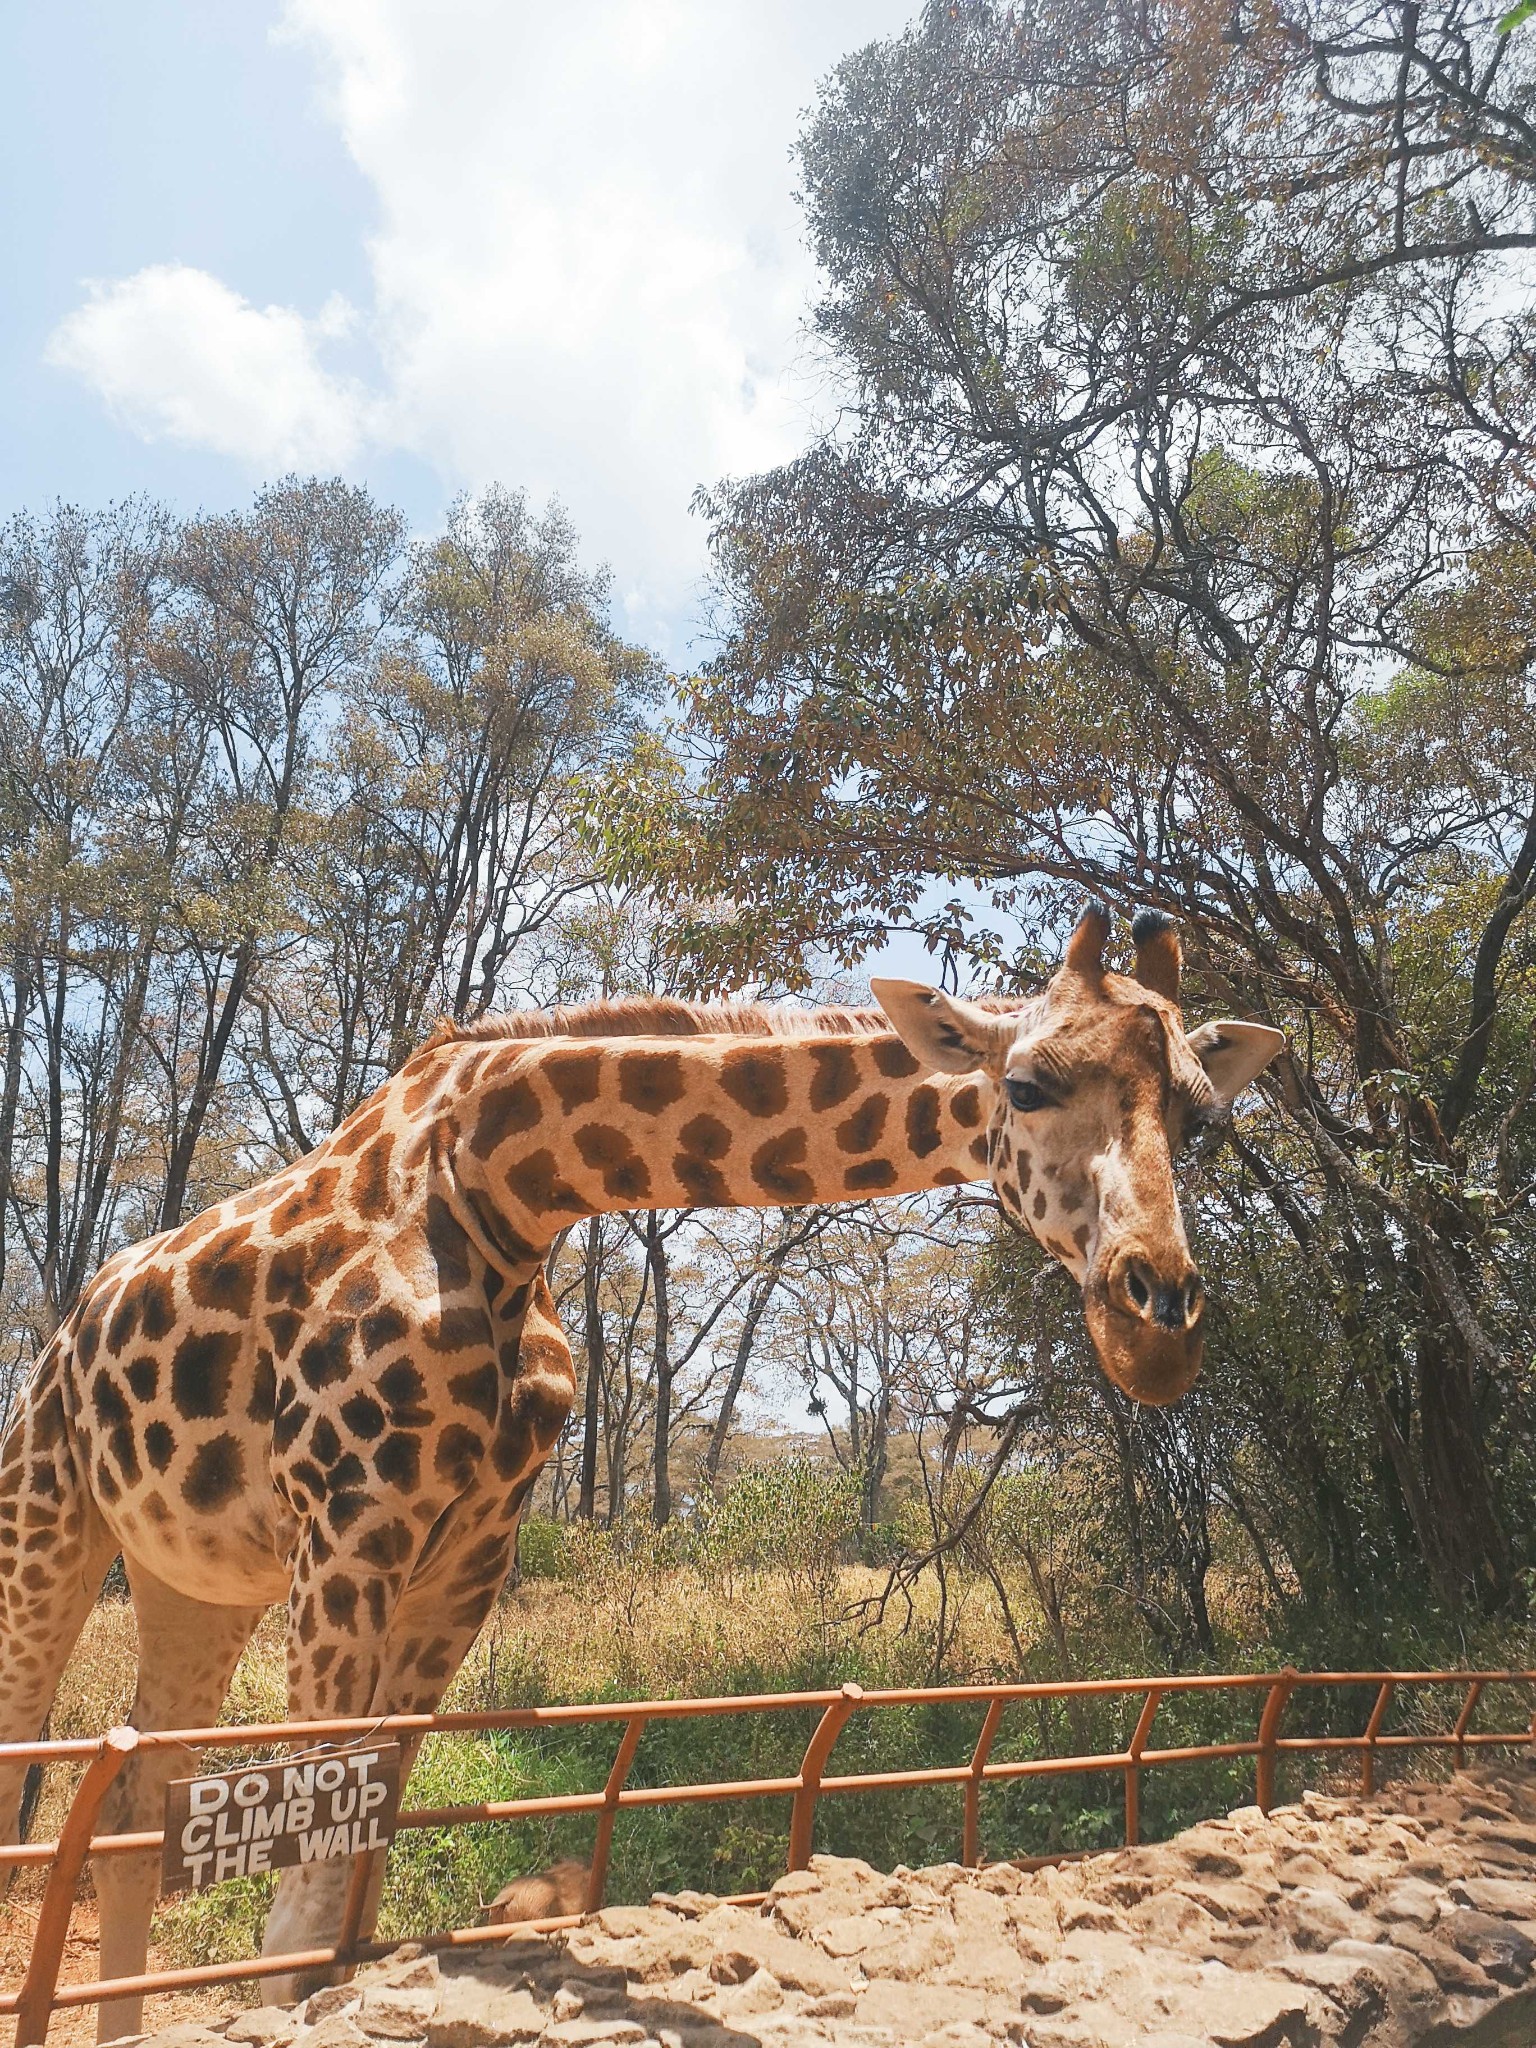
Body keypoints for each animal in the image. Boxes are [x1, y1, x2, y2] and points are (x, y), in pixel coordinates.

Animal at [0, 905, 1286, 2039]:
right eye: (1024, 1087)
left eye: (1201, 1116)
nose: (1159, 1329)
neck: (504, 1185)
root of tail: (62, 1330)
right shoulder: (353, 1517)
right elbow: (304, 1899)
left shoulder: (469, 1547)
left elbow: (354, 1884)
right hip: (45, 1509)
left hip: (194, 1579)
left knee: (128, 1802)